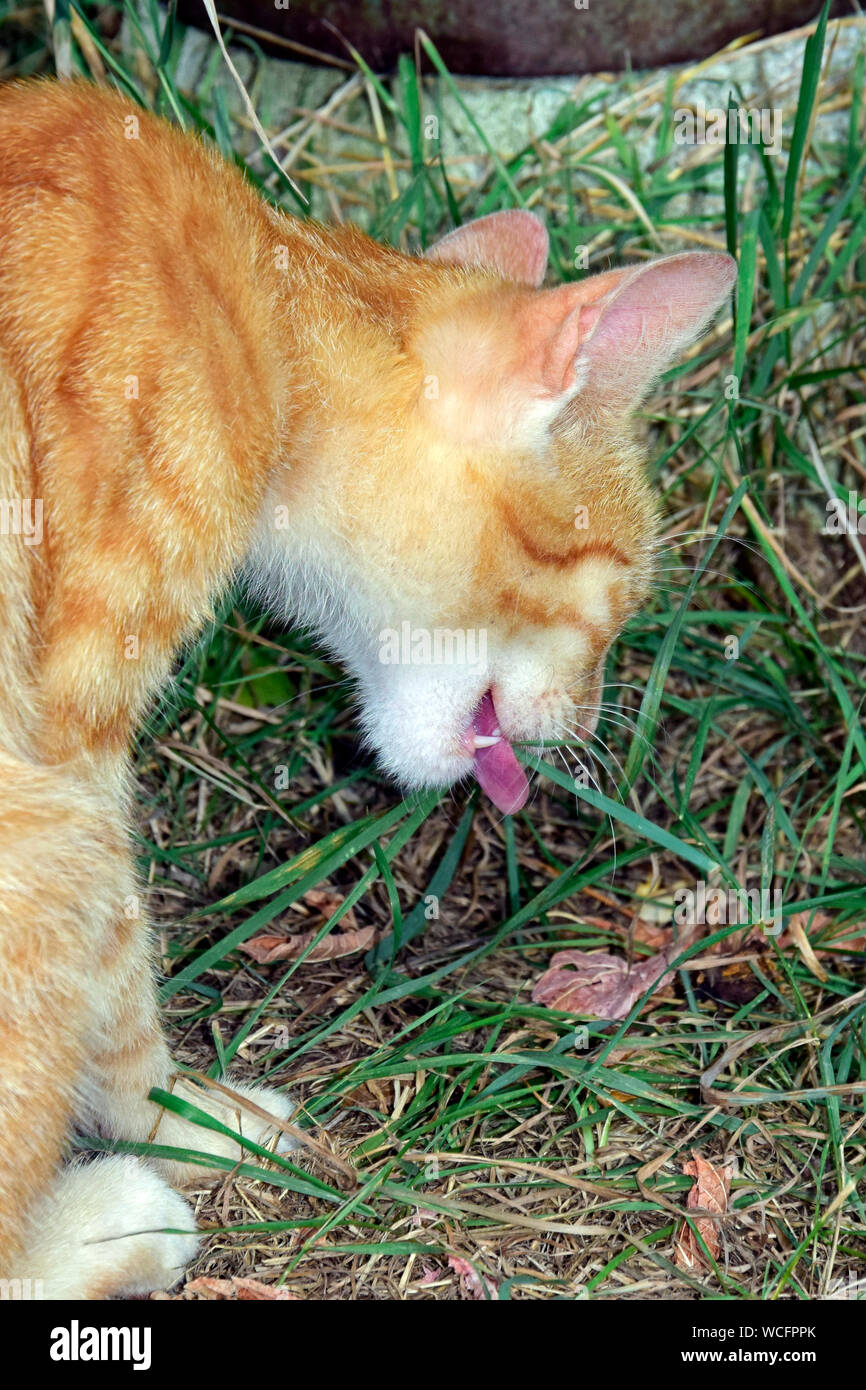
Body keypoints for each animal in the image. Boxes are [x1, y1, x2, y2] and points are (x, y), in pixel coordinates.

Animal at [0, 73, 739, 1289]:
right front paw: (187, 1119)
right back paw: (116, 1218)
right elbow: (116, 970)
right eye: (626, 595)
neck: (267, 307)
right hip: (41, 824)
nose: (587, 722)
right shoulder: (71, 738)